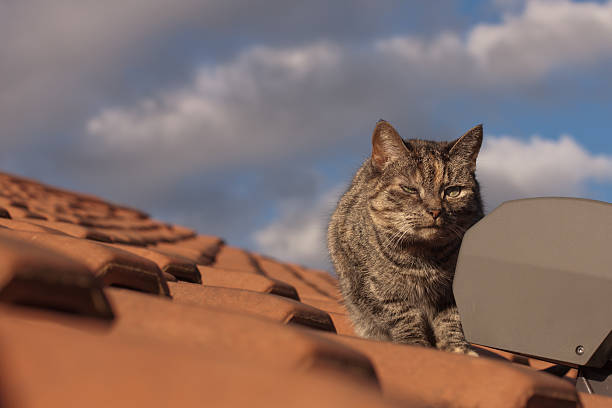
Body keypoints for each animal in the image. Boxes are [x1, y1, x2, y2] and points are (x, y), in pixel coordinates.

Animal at [328, 118, 486, 354]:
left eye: (453, 191)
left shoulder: (453, 293)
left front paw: (458, 349)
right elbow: (404, 318)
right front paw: (415, 344)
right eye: (410, 189)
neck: (425, 258)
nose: (435, 211)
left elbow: (451, 321)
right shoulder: (380, 291)